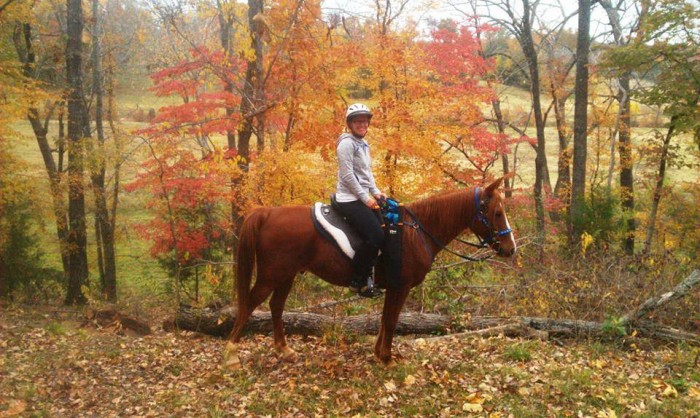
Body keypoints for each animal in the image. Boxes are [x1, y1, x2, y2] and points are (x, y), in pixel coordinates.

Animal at [221, 176, 516, 370]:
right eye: (497, 212)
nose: (510, 248)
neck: (415, 232)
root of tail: (267, 213)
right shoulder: (401, 286)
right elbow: (392, 321)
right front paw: (386, 358)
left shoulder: (393, 287)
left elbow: (386, 320)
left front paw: (379, 354)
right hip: (272, 275)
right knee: (249, 304)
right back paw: (232, 354)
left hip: (287, 275)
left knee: (276, 306)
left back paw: (284, 350)